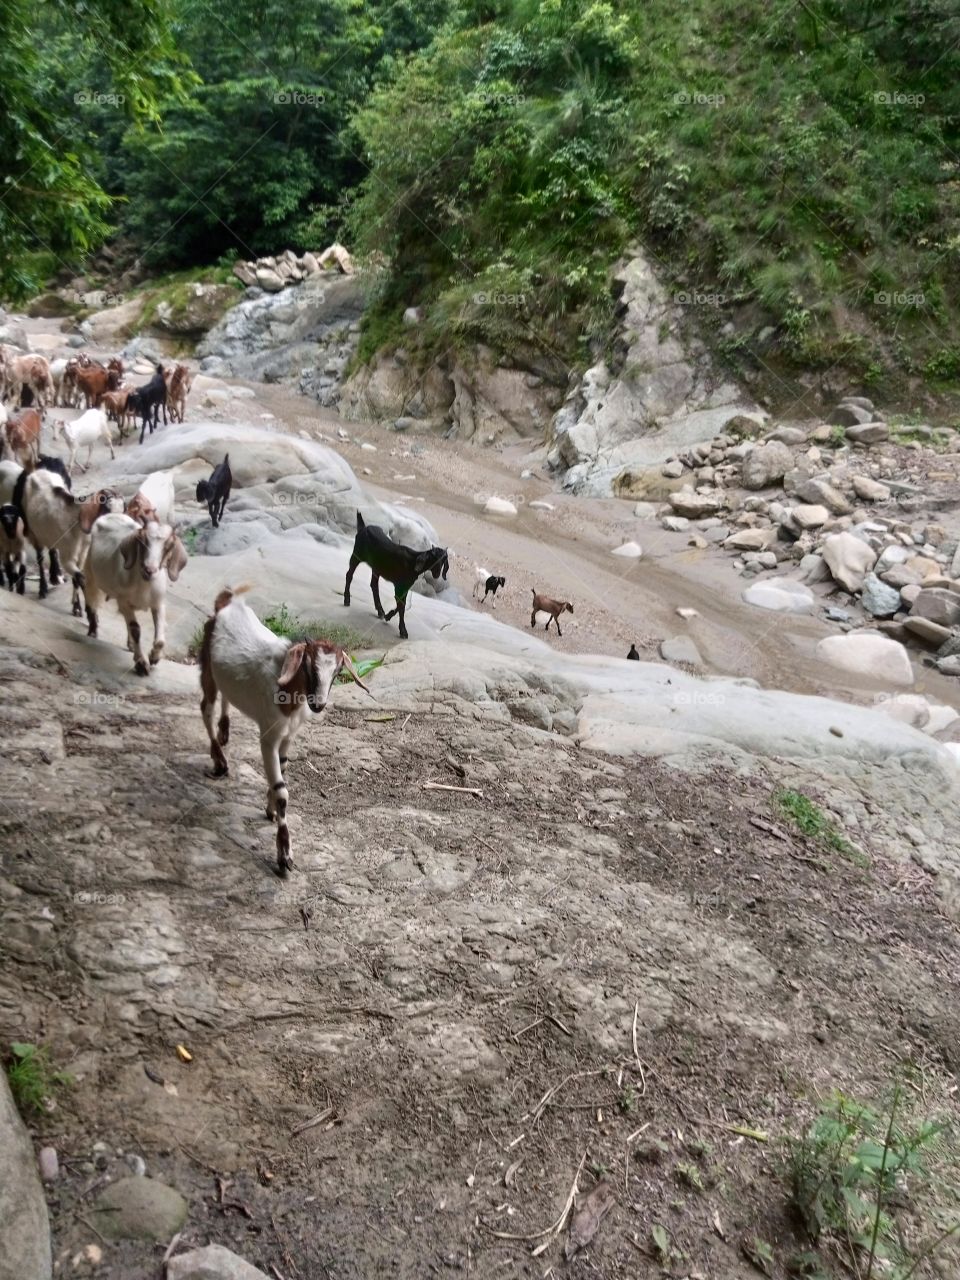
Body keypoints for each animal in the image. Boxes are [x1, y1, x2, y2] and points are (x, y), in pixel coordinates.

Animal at [21, 469, 122, 609]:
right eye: (106, 509)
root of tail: (37, 472)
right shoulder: (68, 557)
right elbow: (80, 578)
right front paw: (82, 608)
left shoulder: (82, 554)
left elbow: (76, 579)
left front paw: (76, 607)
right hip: (33, 532)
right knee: (40, 558)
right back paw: (43, 589)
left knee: (52, 549)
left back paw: (55, 577)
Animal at [83, 513, 187, 675]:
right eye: (142, 541)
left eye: (169, 546)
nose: (149, 570)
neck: (143, 586)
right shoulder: (123, 602)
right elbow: (136, 629)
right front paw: (142, 663)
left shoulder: (158, 603)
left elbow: (160, 637)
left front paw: (154, 657)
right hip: (90, 573)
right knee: (91, 602)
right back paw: (93, 631)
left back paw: (131, 645)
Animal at [199, 586, 368, 875]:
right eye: (309, 667)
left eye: (337, 672)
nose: (318, 704)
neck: (288, 693)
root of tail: (227, 603)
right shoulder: (269, 736)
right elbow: (282, 790)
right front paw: (284, 854)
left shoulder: (289, 736)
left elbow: (284, 767)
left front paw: (269, 809)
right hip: (206, 665)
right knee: (205, 707)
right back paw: (219, 761)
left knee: (225, 697)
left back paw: (224, 732)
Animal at [343, 511, 448, 640]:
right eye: (433, 558)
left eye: (443, 560)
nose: (437, 573)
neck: (413, 562)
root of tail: (363, 527)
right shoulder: (399, 586)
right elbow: (401, 606)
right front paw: (403, 630)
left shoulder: (405, 587)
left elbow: (402, 605)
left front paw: (388, 616)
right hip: (356, 555)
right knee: (349, 574)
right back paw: (347, 599)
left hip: (376, 567)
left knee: (374, 585)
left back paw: (380, 611)